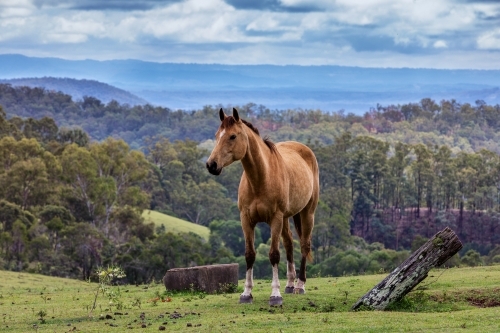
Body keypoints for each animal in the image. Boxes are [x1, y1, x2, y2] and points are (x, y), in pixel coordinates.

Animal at [205, 107, 318, 304]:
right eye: (217, 135)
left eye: (232, 136)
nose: (212, 165)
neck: (261, 178)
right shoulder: (246, 220)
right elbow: (250, 254)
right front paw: (246, 293)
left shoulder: (275, 219)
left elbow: (273, 255)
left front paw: (275, 295)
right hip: (286, 218)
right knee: (289, 244)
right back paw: (290, 284)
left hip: (307, 213)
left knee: (304, 245)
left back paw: (300, 285)